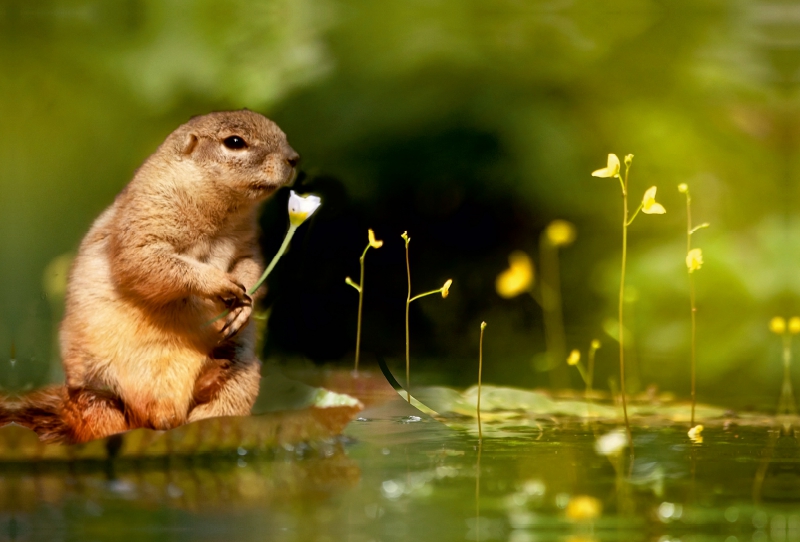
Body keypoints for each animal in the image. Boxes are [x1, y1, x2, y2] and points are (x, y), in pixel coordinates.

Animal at [13, 111, 300, 446]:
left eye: (282, 133)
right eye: (234, 142)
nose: (294, 158)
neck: (221, 215)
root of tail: (163, 416)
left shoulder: (248, 244)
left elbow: (250, 267)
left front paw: (244, 305)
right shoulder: (148, 218)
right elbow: (149, 262)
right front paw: (217, 283)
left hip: (241, 375)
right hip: (94, 394)